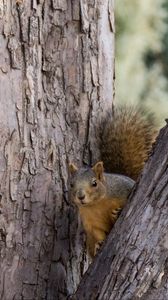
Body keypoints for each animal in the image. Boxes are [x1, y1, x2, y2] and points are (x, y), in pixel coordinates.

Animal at [68, 105, 156, 258]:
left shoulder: (123, 189)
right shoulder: (90, 221)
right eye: (71, 184)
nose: (80, 196)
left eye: (94, 183)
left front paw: (117, 213)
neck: (96, 205)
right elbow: (97, 233)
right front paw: (99, 245)